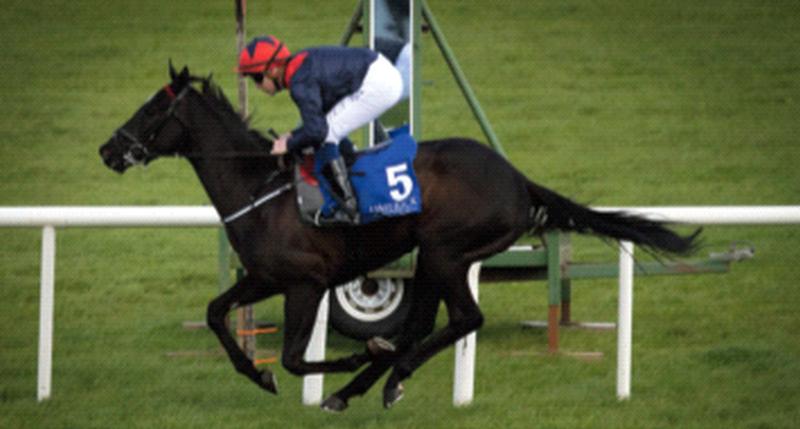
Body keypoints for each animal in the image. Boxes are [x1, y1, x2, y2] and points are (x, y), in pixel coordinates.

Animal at [100, 64, 696, 412]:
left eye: (152, 108)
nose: (108, 150)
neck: (259, 188)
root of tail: (518, 179)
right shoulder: (266, 277)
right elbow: (215, 313)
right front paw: (258, 375)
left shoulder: (306, 282)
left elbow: (294, 357)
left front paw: (343, 363)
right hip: (434, 259)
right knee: (424, 326)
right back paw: (370, 383)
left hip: (446, 251)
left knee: (462, 319)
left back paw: (378, 377)